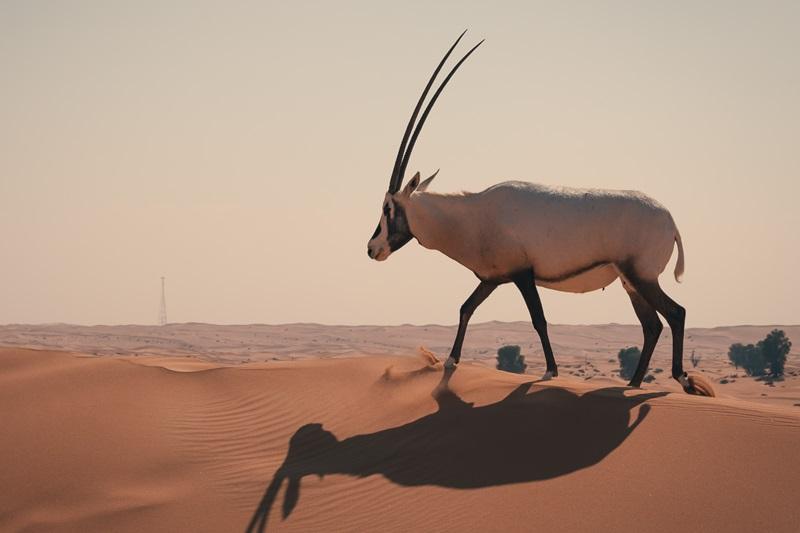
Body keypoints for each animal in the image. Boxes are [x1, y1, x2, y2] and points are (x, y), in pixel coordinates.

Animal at [367, 31, 712, 396]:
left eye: (388, 208)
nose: (372, 248)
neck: (473, 214)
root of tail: (671, 222)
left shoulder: (523, 274)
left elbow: (539, 319)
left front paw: (549, 371)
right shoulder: (493, 278)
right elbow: (466, 308)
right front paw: (449, 361)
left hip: (642, 276)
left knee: (675, 313)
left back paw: (682, 379)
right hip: (630, 282)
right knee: (652, 325)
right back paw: (632, 383)